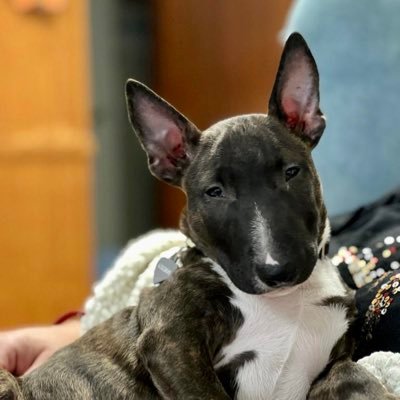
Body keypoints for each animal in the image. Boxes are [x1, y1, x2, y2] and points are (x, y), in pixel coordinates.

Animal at [0, 33, 396, 400]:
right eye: (214, 192)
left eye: (291, 173)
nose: (277, 271)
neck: (288, 301)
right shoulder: (169, 342)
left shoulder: (332, 363)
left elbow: (352, 374)